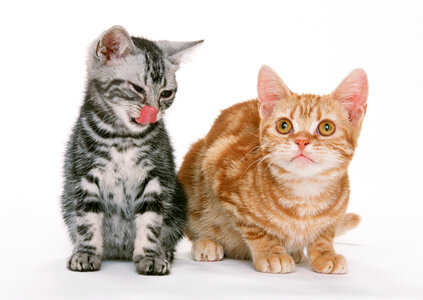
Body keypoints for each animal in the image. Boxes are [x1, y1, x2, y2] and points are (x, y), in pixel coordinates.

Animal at [61, 25, 204, 274]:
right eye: (137, 88)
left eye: (166, 93)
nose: (153, 113)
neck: (123, 138)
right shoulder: (83, 176)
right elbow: (86, 221)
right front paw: (86, 253)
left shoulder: (156, 178)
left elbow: (151, 222)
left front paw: (151, 256)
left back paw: (165, 251)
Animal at [179, 65, 368, 274]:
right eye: (284, 126)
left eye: (327, 127)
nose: (301, 141)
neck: (305, 196)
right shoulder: (219, 166)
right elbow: (257, 229)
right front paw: (272, 252)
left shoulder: (335, 215)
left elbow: (325, 232)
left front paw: (325, 253)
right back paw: (206, 243)